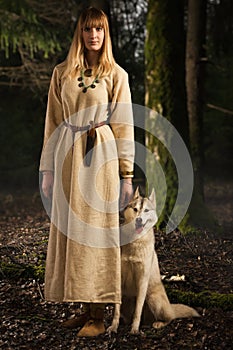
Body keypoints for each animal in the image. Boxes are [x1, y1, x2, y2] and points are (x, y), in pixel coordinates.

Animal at [108, 187, 199, 334]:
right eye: (135, 209)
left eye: (146, 210)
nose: (138, 220)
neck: (135, 242)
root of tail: (170, 306)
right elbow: (116, 310)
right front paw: (113, 326)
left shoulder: (142, 281)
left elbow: (138, 310)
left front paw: (134, 329)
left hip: (152, 298)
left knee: (169, 318)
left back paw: (158, 323)